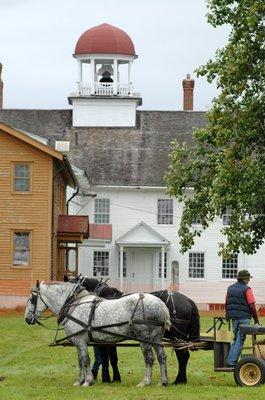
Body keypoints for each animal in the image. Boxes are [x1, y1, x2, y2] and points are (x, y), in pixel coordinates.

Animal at [24, 282, 169, 388]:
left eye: (31, 299)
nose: (26, 319)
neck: (74, 305)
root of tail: (161, 303)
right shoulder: (78, 342)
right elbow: (80, 361)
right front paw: (79, 381)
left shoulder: (80, 341)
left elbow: (85, 360)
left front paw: (88, 381)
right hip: (156, 338)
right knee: (161, 357)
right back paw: (163, 382)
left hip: (144, 339)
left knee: (149, 358)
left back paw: (145, 382)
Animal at [65, 276, 199, 384]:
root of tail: (188, 301)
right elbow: (112, 358)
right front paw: (115, 378)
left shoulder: (104, 339)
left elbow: (106, 358)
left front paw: (107, 378)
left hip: (177, 338)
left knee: (182, 357)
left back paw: (179, 380)